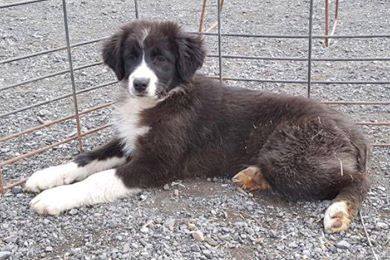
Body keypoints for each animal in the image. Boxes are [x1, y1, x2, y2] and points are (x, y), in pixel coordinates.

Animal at [25, 20, 368, 234]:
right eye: (132, 57)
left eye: (161, 59)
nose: (139, 84)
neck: (163, 100)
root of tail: (353, 130)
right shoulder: (129, 141)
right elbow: (86, 158)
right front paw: (46, 177)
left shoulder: (157, 163)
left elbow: (99, 179)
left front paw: (54, 199)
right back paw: (252, 176)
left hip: (290, 154)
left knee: (357, 180)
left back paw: (339, 211)